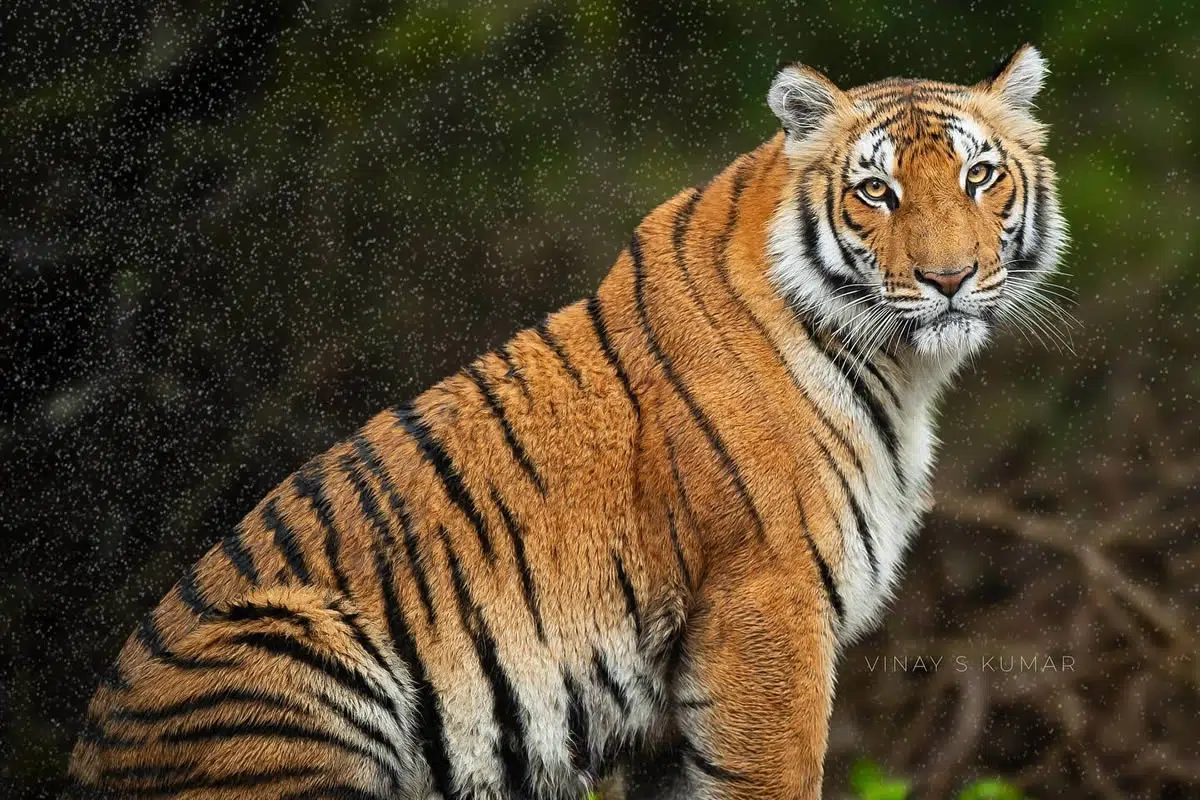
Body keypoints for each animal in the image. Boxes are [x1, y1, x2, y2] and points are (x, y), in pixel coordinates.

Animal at [66, 44, 1066, 800]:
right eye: (877, 192)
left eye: (980, 177)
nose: (948, 279)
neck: (902, 371)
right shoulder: (765, 610)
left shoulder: (675, 699)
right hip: (300, 649)